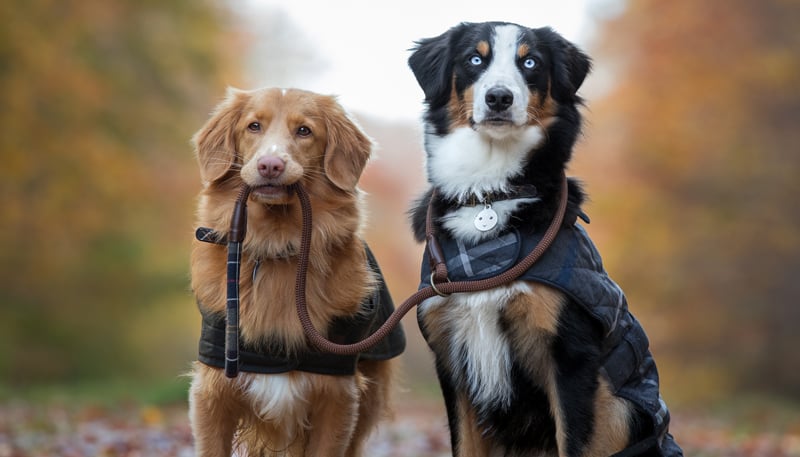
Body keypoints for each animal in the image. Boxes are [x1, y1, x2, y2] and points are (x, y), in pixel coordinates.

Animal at [188, 88, 400, 456]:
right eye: (253, 126)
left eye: (304, 131)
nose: (270, 165)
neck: (277, 246)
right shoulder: (213, 393)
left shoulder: (338, 397)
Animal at [412, 19, 680, 454]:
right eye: (474, 59)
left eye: (530, 62)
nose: (499, 98)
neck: (491, 193)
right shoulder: (452, 359)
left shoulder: (569, 357)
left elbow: (571, 440)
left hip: (620, 408)